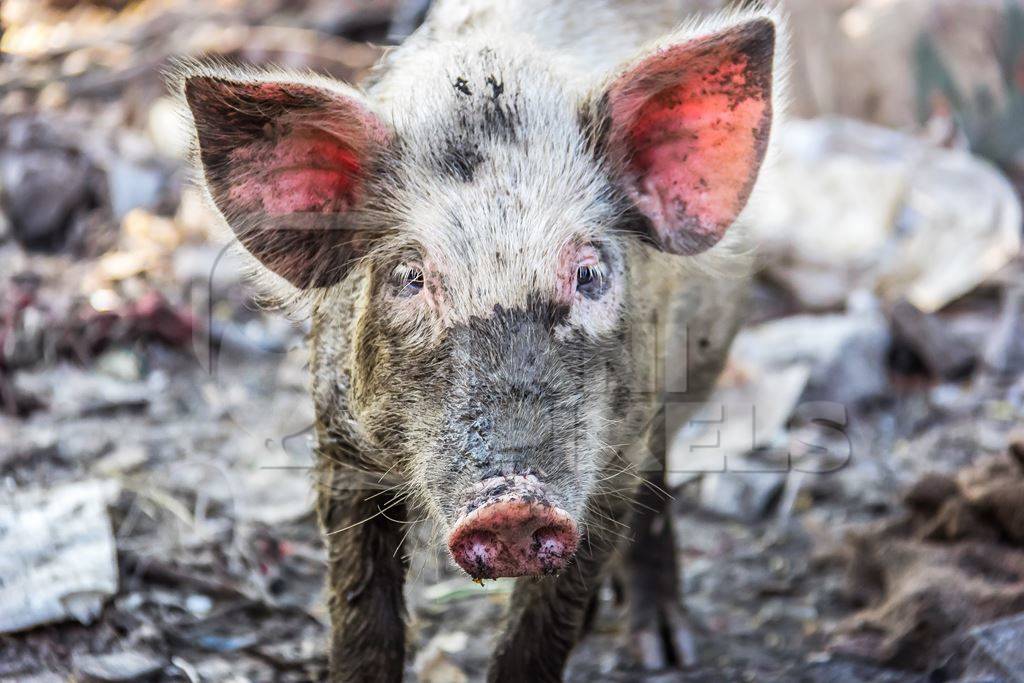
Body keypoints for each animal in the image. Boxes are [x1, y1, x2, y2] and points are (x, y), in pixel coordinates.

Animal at [176, 1, 782, 679]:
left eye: (589, 274)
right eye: (410, 277)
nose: (513, 503)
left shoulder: (614, 461)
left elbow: (544, 625)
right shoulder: (339, 442)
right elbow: (360, 611)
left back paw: (666, 652)